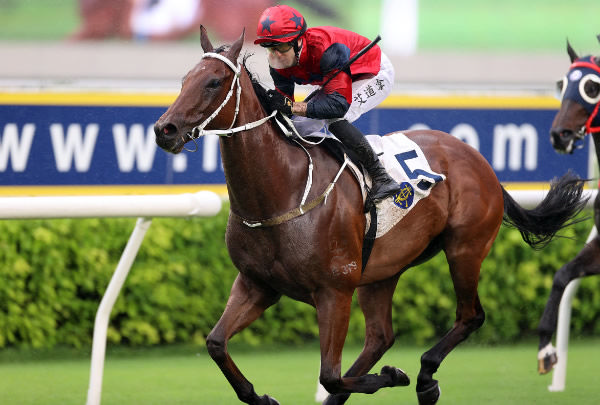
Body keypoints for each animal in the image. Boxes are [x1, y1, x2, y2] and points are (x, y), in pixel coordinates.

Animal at [152, 26, 588, 402]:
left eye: (213, 82)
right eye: (184, 78)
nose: (164, 129)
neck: (283, 191)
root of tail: (481, 163)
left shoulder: (334, 291)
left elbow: (329, 374)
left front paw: (394, 376)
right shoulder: (257, 284)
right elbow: (216, 343)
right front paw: (262, 397)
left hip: (465, 249)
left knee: (470, 316)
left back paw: (425, 378)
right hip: (382, 270)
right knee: (381, 336)